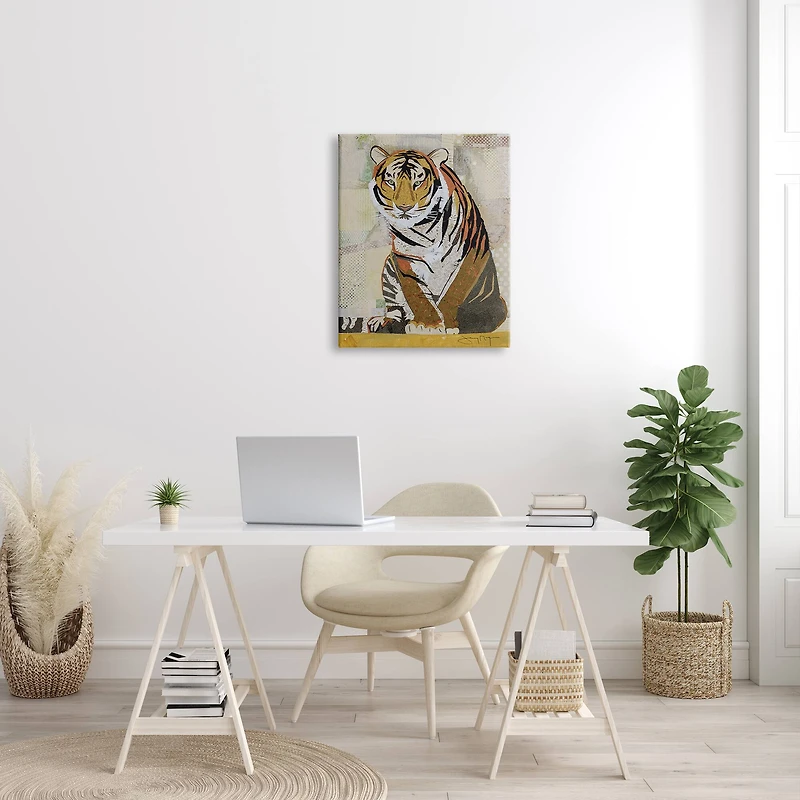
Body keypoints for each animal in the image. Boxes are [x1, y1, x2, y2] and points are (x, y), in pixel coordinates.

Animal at [366, 145, 507, 335]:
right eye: (390, 182)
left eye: (418, 182)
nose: (404, 207)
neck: (424, 228)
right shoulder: (404, 258)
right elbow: (417, 293)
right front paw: (427, 325)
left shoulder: (471, 252)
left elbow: (455, 290)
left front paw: (447, 325)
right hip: (389, 269)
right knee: (396, 309)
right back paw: (385, 322)